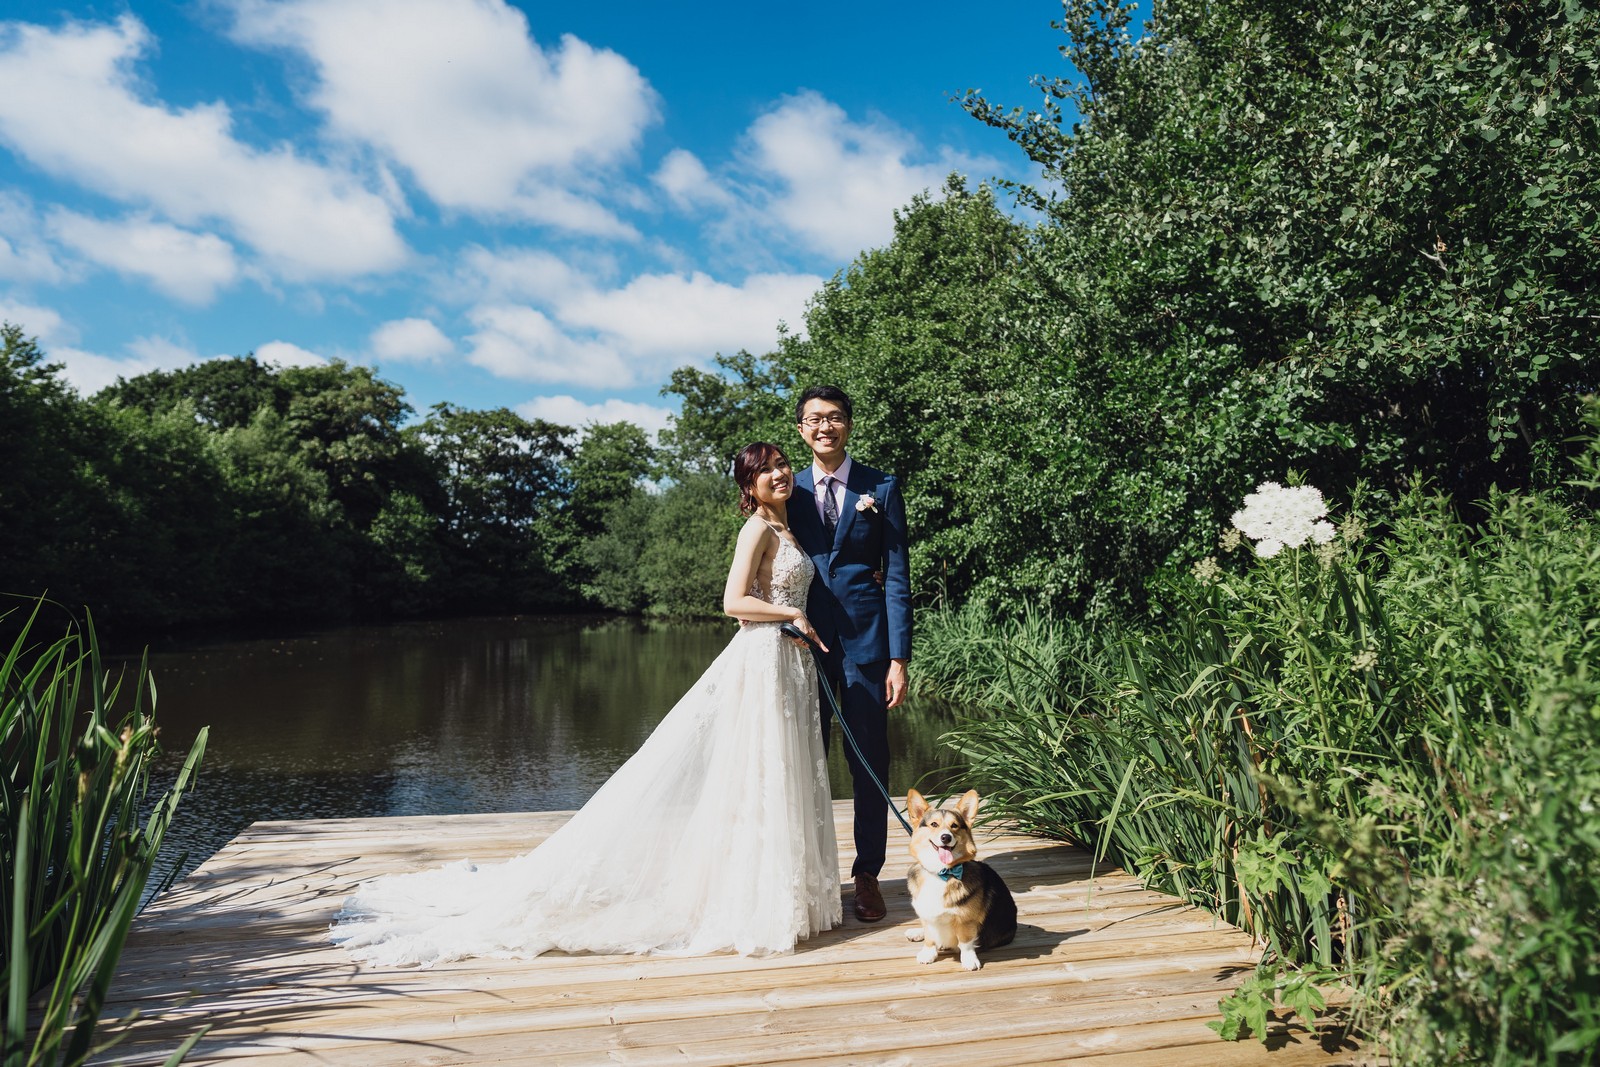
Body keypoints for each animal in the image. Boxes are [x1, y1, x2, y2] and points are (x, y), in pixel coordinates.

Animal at [904, 788, 1017, 970]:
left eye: (954, 826)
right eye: (934, 824)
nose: (946, 837)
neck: (941, 872)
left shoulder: (966, 920)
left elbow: (965, 941)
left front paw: (969, 960)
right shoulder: (927, 914)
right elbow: (929, 936)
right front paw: (928, 953)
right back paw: (916, 932)